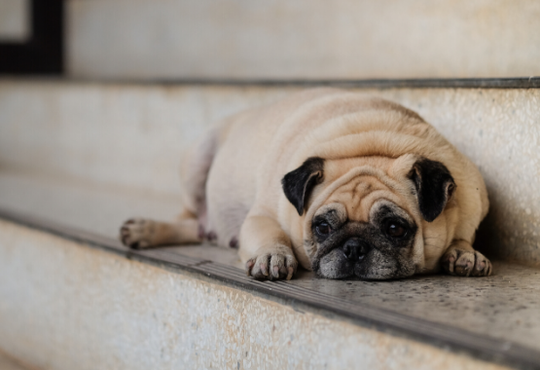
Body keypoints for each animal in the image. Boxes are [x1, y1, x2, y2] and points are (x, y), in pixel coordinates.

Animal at [120, 89, 492, 280]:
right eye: (322, 228)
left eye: (395, 228)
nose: (353, 247)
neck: (372, 147)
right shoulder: (262, 216)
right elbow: (270, 234)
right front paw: (272, 255)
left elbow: (461, 233)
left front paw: (464, 252)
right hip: (196, 163)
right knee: (190, 219)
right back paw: (147, 230)